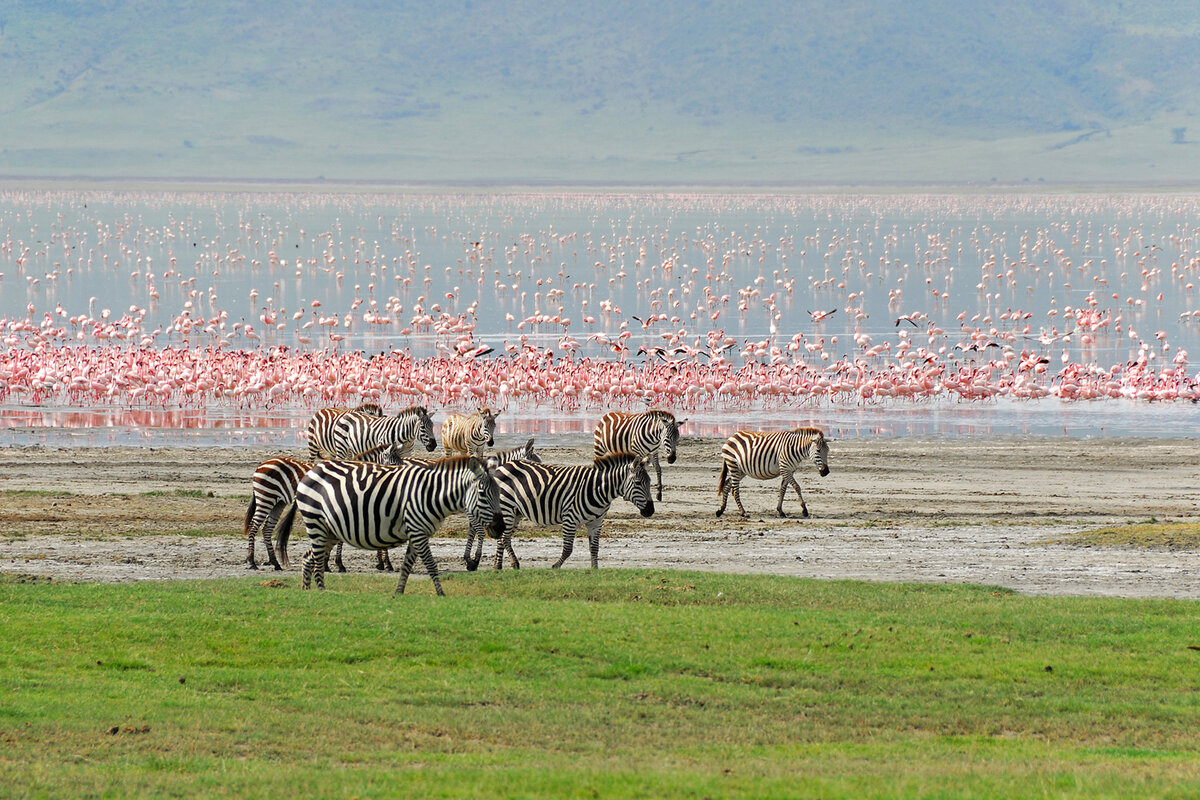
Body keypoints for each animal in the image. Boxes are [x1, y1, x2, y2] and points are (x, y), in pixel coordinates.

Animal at [289, 455, 501, 594]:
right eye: (483, 493)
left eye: (499, 493)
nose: (500, 528)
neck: (430, 493)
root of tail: (311, 471)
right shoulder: (417, 531)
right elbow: (431, 564)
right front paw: (441, 594)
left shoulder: (418, 532)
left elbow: (407, 566)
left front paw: (399, 593)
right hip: (315, 522)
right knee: (317, 560)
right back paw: (321, 592)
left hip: (330, 531)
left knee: (308, 557)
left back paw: (307, 591)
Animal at [468, 453, 657, 573]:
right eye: (638, 483)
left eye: (649, 482)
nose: (650, 511)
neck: (599, 489)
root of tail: (503, 465)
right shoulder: (570, 518)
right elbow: (568, 549)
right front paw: (556, 566)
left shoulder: (596, 522)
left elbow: (594, 547)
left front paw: (594, 569)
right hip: (507, 508)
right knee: (502, 537)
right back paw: (502, 565)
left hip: (516, 513)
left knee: (505, 538)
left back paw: (506, 565)